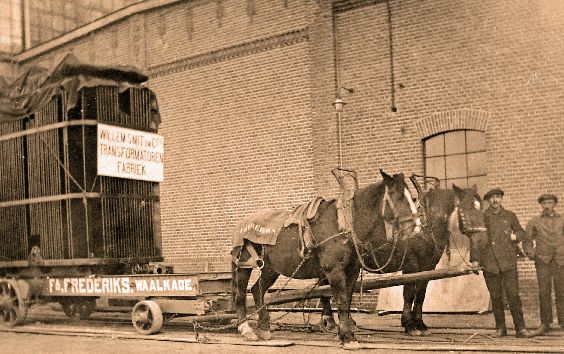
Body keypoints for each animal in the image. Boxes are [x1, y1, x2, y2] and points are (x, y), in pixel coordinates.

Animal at [231, 171, 420, 348]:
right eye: (399, 196)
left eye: (413, 197)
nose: (417, 226)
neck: (343, 223)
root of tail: (242, 224)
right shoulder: (333, 270)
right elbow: (341, 300)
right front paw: (347, 337)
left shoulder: (352, 271)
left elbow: (347, 301)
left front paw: (346, 334)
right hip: (245, 264)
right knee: (241, 294)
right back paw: (246, 329)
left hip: (270, 268)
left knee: (257, 291)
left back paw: (264, 328)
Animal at [318, 184, 490, 336]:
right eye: (467, 210)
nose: (483, 240)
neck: (424, 225)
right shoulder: (411, 265)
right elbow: (409, 294)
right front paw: (409, 324)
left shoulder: (428, 266)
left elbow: (420, 295)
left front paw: (420, 323)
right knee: (326, 288)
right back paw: (330, 321)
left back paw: (348, 322)